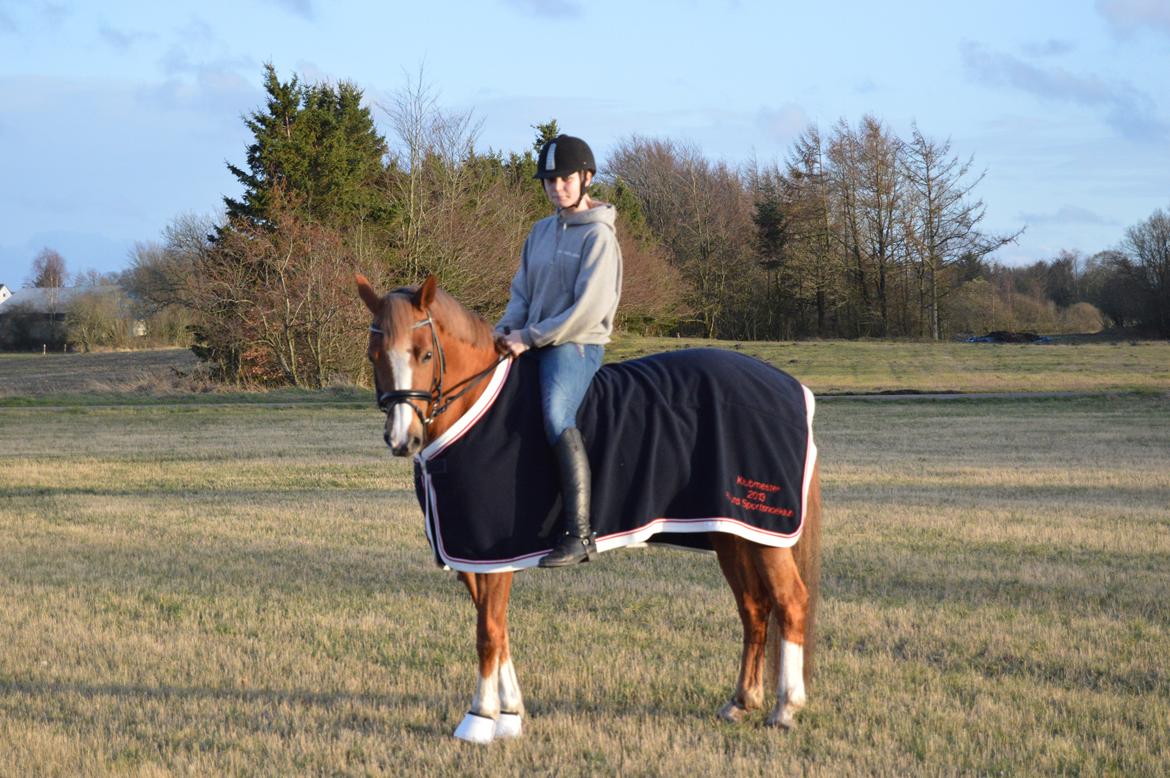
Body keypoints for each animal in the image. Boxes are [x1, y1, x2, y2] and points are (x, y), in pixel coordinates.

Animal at [355, 272, 823, 739]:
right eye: (374, 354)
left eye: (425, 353)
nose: (402, 439)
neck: (478, 408)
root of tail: (790, 387)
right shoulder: (469, 553)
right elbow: (499, 630)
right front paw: (511, 713)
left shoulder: (490, 554)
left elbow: (488, 631)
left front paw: (480, 718)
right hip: (732, 533)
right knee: (754, 609)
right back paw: (742, 702)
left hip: (766, 533)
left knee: (790, 602)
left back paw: (786, 707)